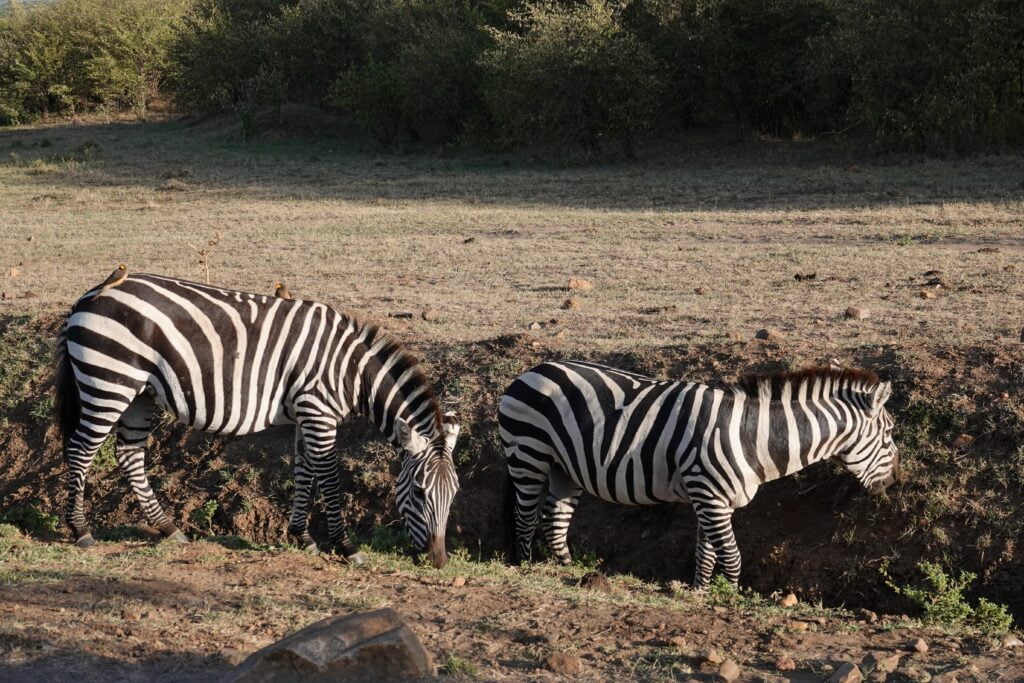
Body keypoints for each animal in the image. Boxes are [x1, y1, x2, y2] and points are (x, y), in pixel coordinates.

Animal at [51, 270, 460, 565]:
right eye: (420, 492)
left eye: (454, 493)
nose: (438, 561)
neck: (351, 372)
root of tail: (88, 295)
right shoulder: (318, 412)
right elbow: (329, 480)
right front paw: (346, 546)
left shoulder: (306, 415)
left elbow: (304, 473)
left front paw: (302, 537)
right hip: (109, 380)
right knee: (81, 450)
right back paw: (81, 530)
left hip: (140, 393)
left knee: (128, 455)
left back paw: (168, 528)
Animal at [499, 360, 901, 585]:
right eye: (889, 432)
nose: (895, 482)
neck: (752, 436)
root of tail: (531, 371)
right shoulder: (708, 494)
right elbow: (732, 557)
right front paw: (730, 598)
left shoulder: (713, 500)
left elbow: (706, 554)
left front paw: (700, 592)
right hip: (529, 455)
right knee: (525, 517)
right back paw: (527, 567)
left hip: (564, 468)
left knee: (555, 519)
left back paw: (567, 572)